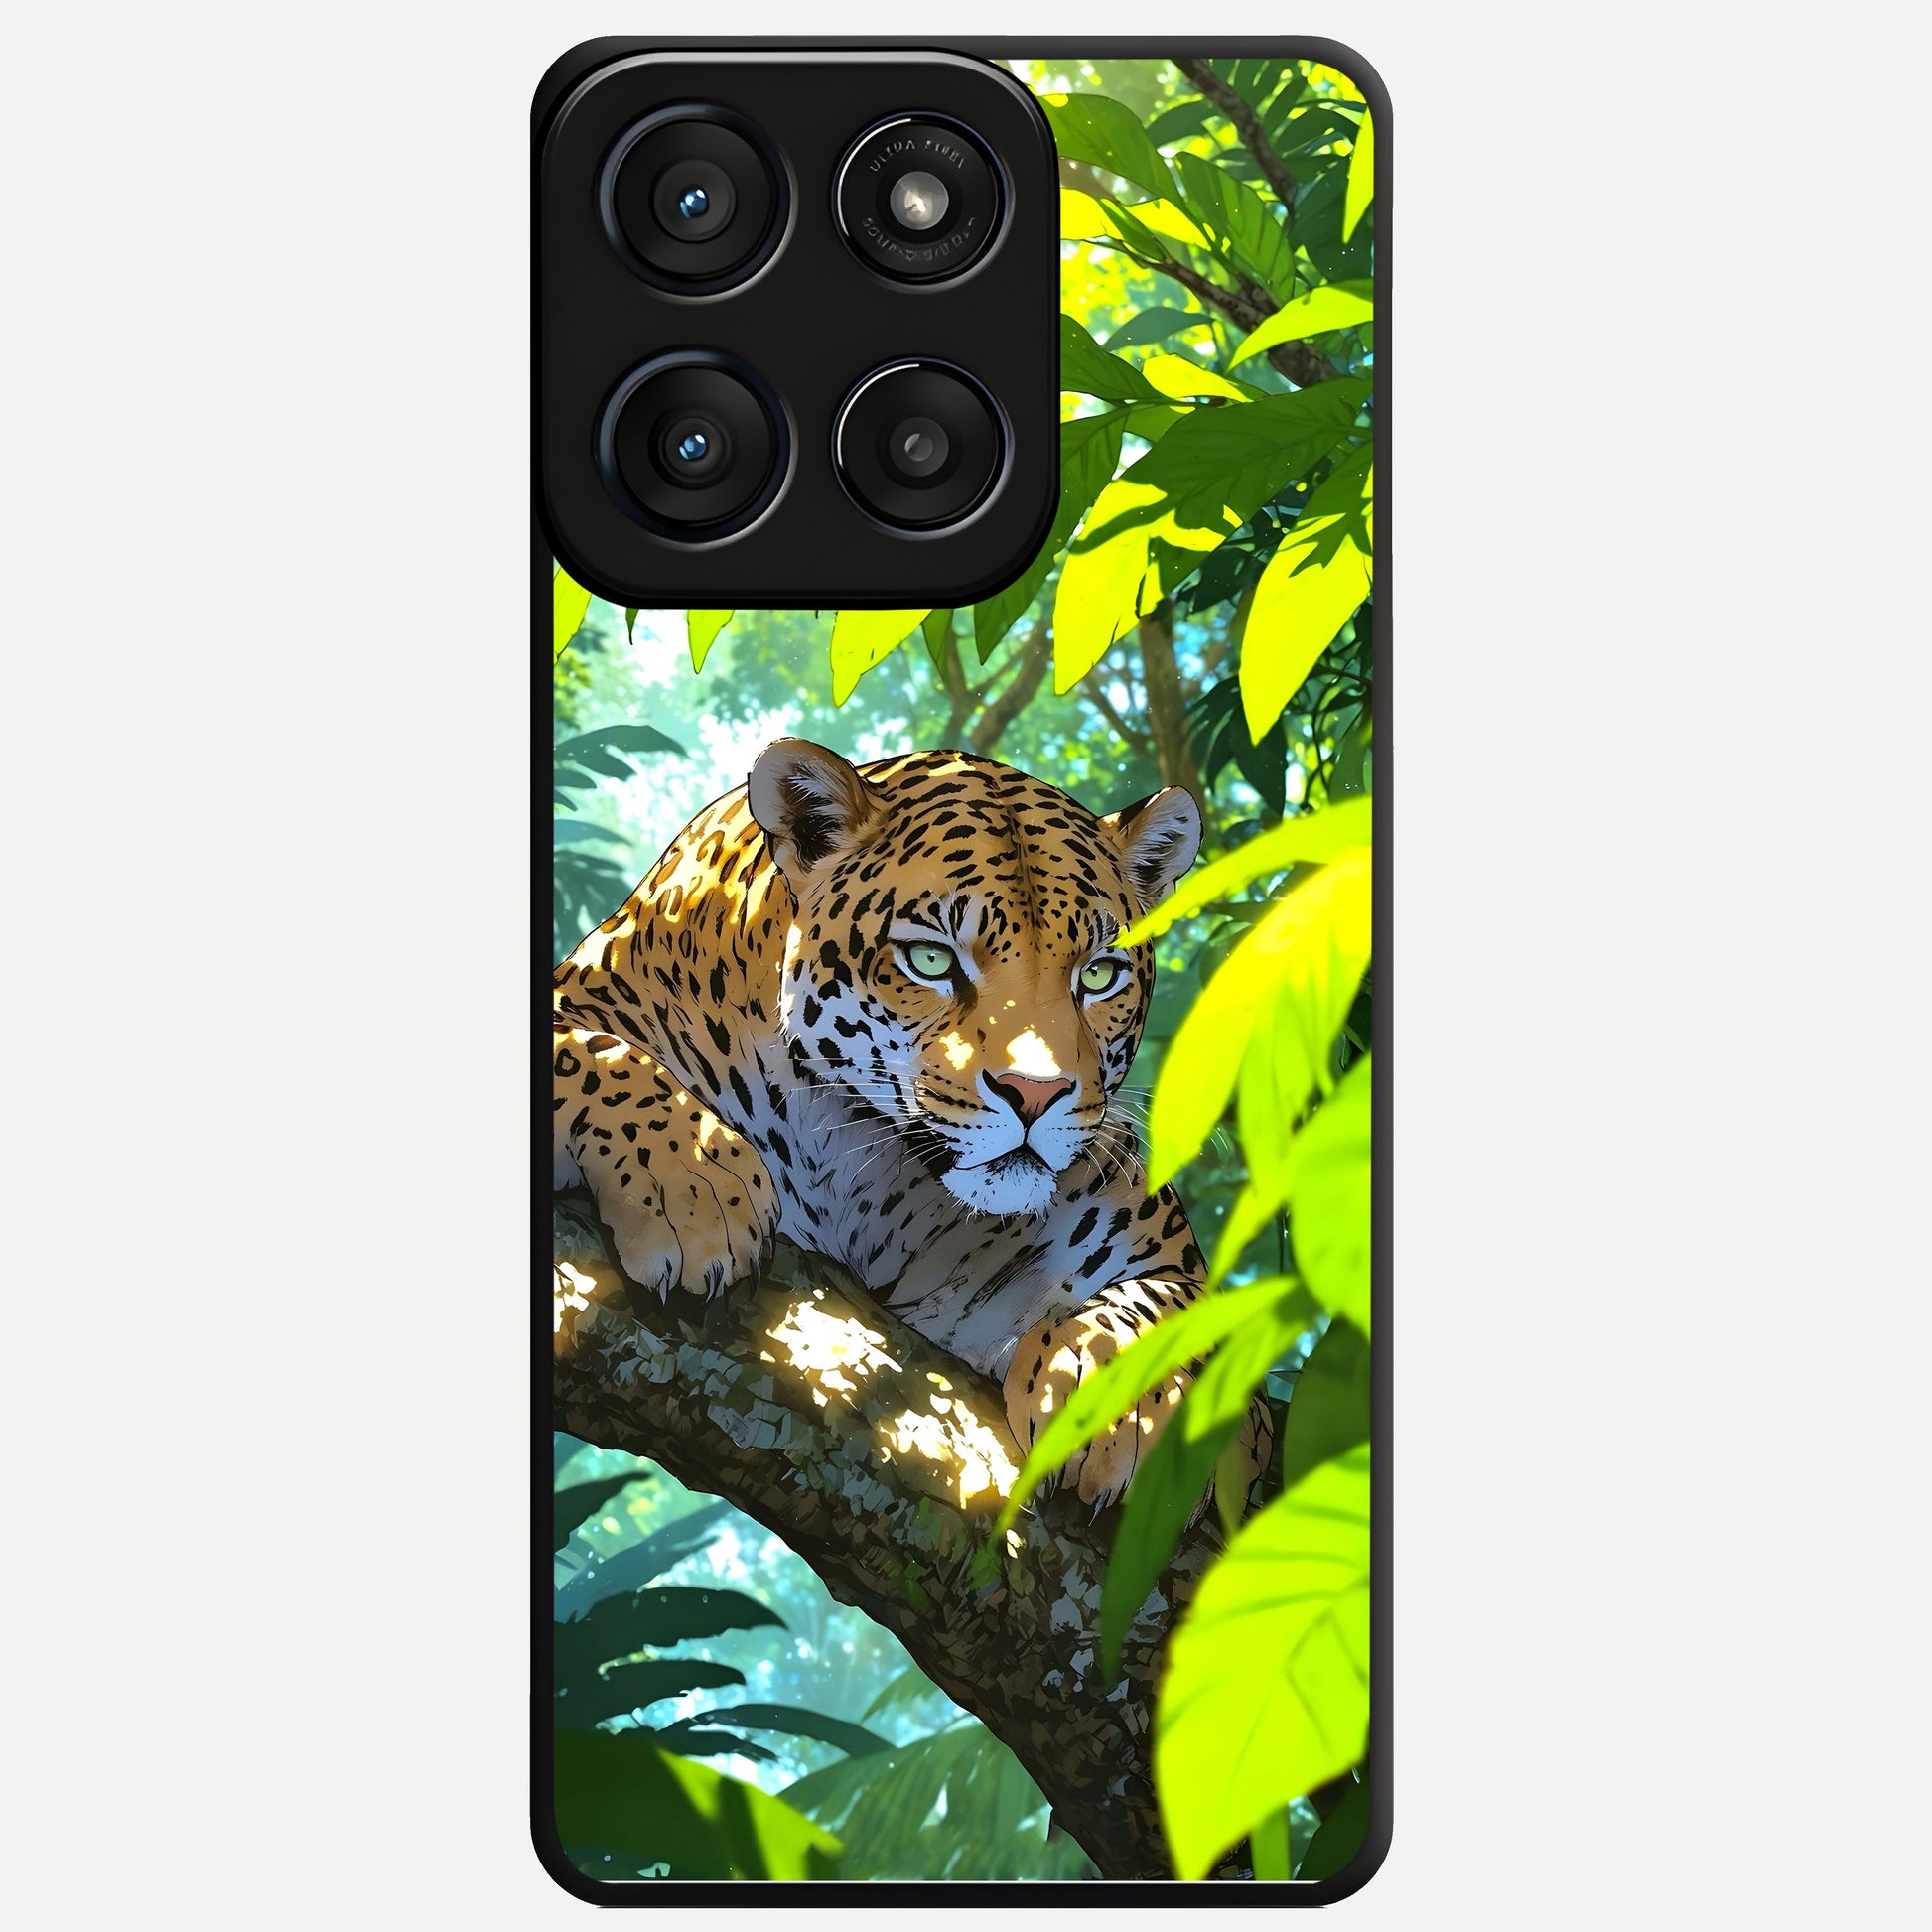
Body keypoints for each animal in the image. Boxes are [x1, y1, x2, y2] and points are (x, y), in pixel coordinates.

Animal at [552, 737, 1270, 1510]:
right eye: (931, 960)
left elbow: (1183, 1306)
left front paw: (1116, 1401)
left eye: (1099, 975)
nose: (1035, 1092)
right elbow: (588, 1052)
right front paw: (694, 1183)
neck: (856, 1164)